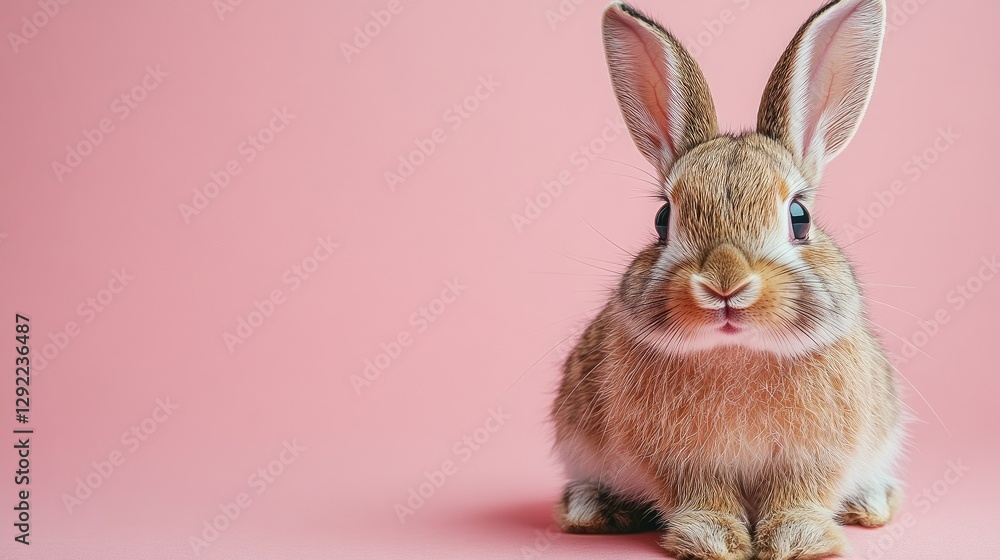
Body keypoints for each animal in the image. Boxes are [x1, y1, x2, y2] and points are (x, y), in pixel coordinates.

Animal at [551, 1, 905, 559]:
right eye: (662, 219)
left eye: (800, 217)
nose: (725, 283)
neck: (739, 350)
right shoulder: (682, 463)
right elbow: (702, 495)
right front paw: (713, 540)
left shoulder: (814, 459)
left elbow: (799, 495)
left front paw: (797, 540)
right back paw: (593, 509)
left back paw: (870, 504)